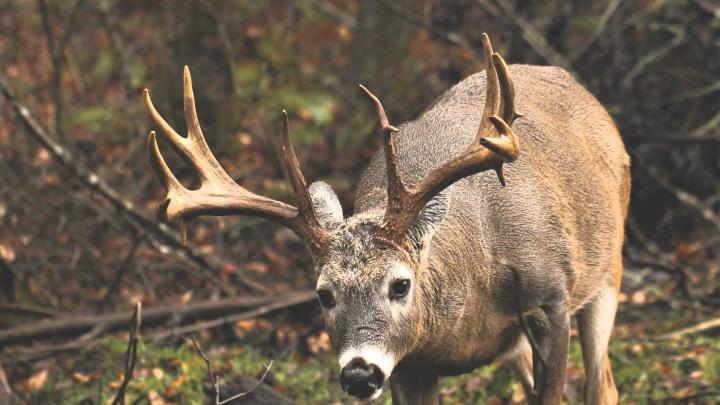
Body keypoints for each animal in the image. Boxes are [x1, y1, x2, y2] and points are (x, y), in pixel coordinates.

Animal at [142, 33, 630, 405]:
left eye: (400, 284)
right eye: (323, 294)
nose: (360, 374)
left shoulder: (549, 299)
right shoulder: (412, 363)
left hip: (608, 272)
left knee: (603, 386)